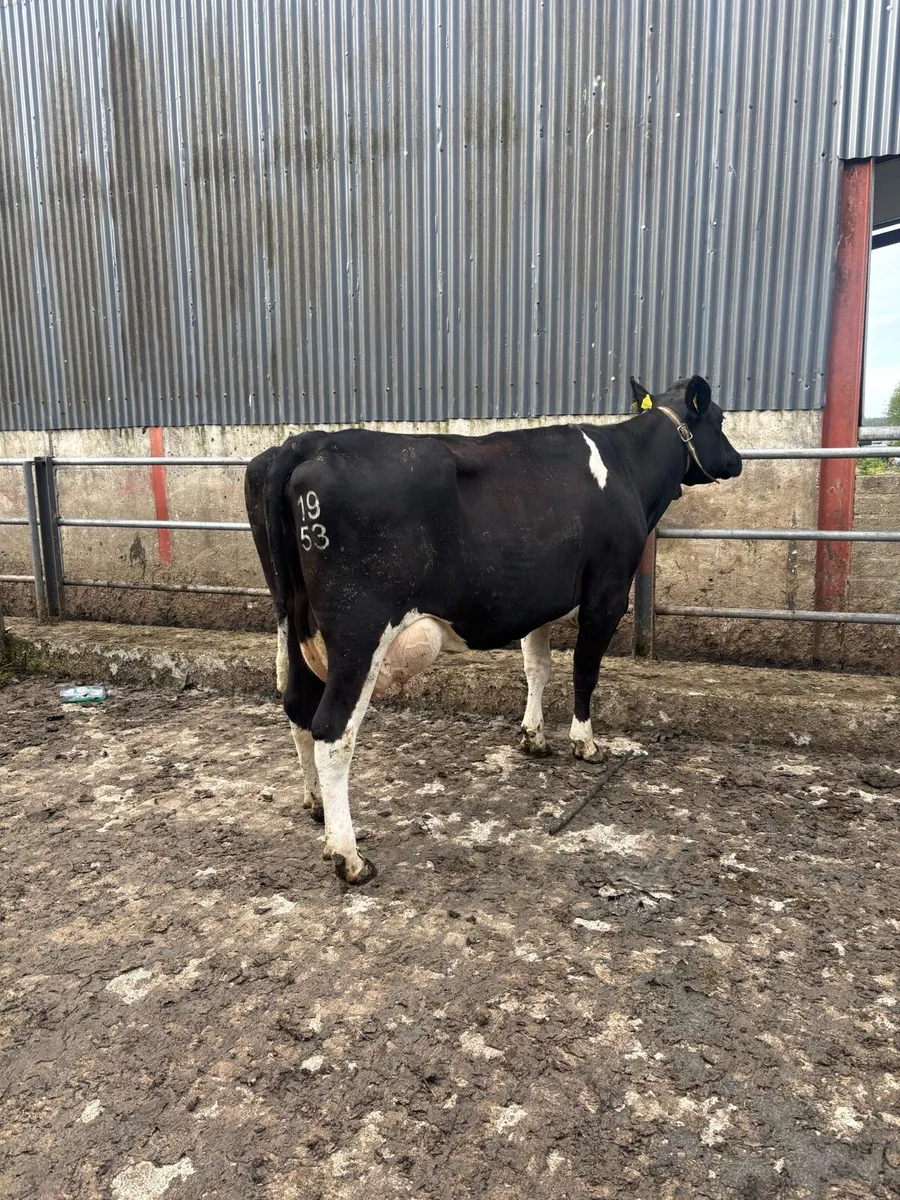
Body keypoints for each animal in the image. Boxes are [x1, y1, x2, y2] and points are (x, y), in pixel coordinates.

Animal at [245, 375, 742, 884]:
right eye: (721, 418)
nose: (737, 460)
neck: (627, 467)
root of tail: (308, 442)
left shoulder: (537, 604)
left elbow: (537, 669)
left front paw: (533, 737)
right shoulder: (607, 597)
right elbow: (585, 673)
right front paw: (585, 744)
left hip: (295, 623)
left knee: (297, 706)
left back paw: (316, 808)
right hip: (358, 632)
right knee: (332, 729)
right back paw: (349, 856)